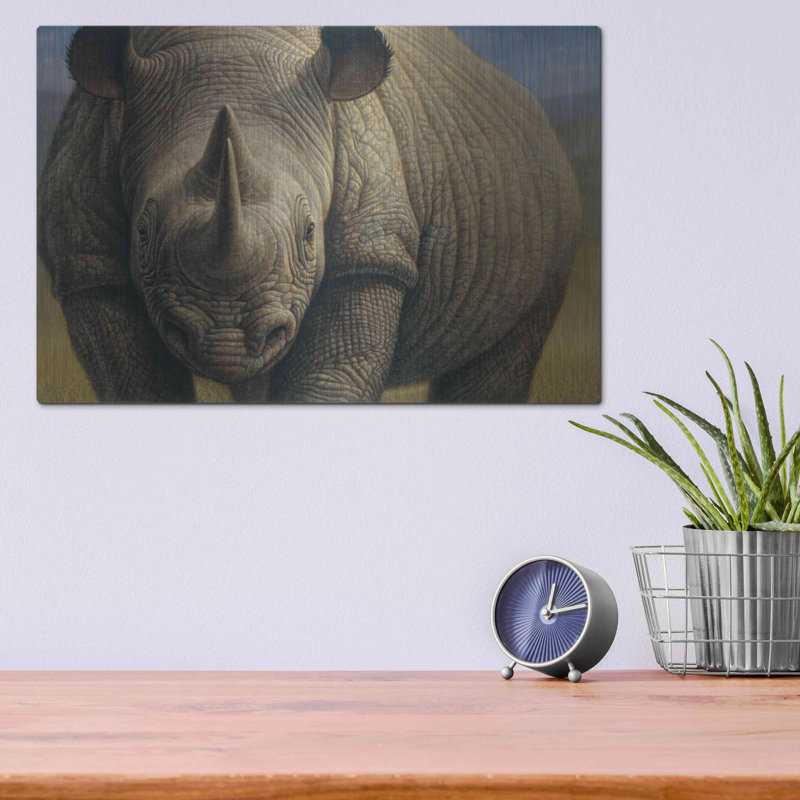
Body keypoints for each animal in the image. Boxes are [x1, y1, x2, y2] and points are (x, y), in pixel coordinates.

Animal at [38, 26, 581, 403]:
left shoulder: (372, 250)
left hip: (544, 199)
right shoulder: (86, 260)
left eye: (309, 233)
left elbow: (333, 375)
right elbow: (133, 380)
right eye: (143, 233)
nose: (226, 341)